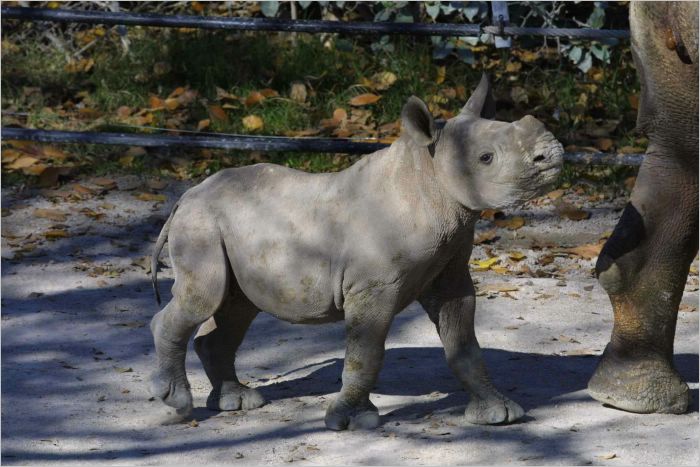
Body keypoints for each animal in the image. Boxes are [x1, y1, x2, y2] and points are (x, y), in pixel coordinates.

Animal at [149, 74, 564, 430]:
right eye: (487, 158)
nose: (553, 152)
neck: (428, 178)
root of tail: (186, 197)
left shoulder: (450, 273)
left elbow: (464, 345)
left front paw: (499, 414)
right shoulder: (372, 287)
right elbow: (368, 352)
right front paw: (351, 422)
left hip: (224, 229)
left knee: (236, 306)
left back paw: (237, 403)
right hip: (201, 224)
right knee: (204, 298)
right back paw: (178, 404)